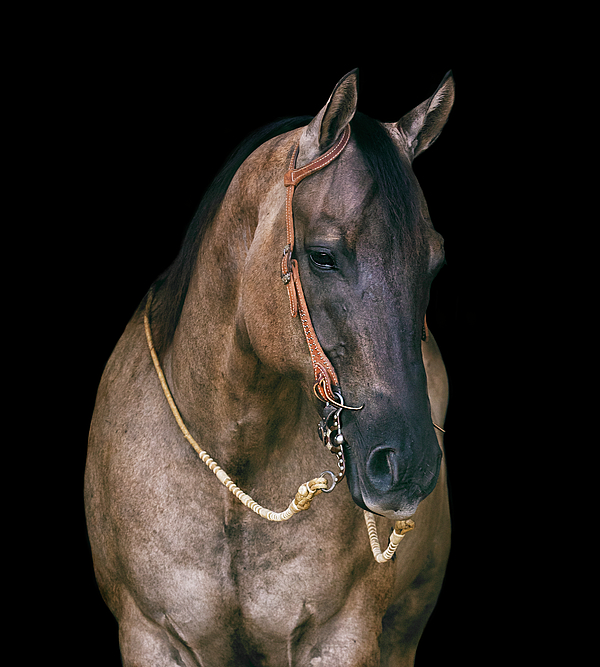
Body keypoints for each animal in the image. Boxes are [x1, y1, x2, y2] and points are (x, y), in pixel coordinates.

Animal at [85, 68, 455, 666]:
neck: (236, 460)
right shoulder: (149, 635)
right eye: (322, 256)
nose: (411, 466)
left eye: (435, 262)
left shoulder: (343, 637)